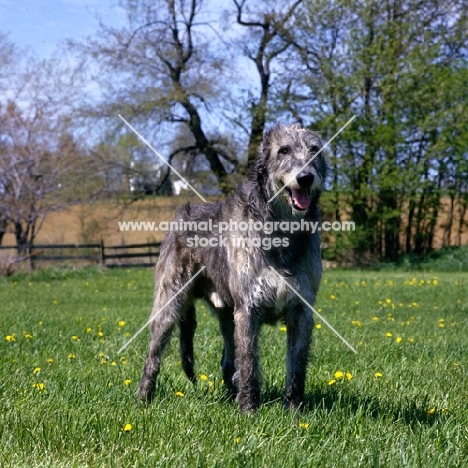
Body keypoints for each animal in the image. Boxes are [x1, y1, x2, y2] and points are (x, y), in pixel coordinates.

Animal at [137, 123, 328, 410]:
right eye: (283, 150)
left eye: (314, 150)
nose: (305, 178)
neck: (281, 229)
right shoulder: (247, 309)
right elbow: (248, 361)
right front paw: (248, 409)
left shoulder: (301, 311)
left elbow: (296, 364)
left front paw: (294, 408)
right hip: (170, 304)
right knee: (154, 353)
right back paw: (143, 396)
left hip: (226, 314)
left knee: (228, 358)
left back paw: (230, 394)